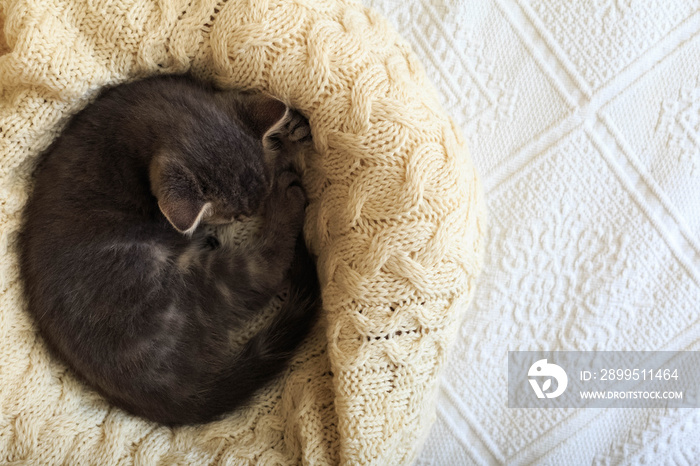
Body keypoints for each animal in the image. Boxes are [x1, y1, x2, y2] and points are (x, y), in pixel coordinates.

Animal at [19, 73, 320, 426]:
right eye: (236, 217)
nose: (254, 211)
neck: (147, 111)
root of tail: (170, 395)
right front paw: (282, 160)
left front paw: (291, 125)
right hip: (193, 281)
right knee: (265, 270)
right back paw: (286, 203)